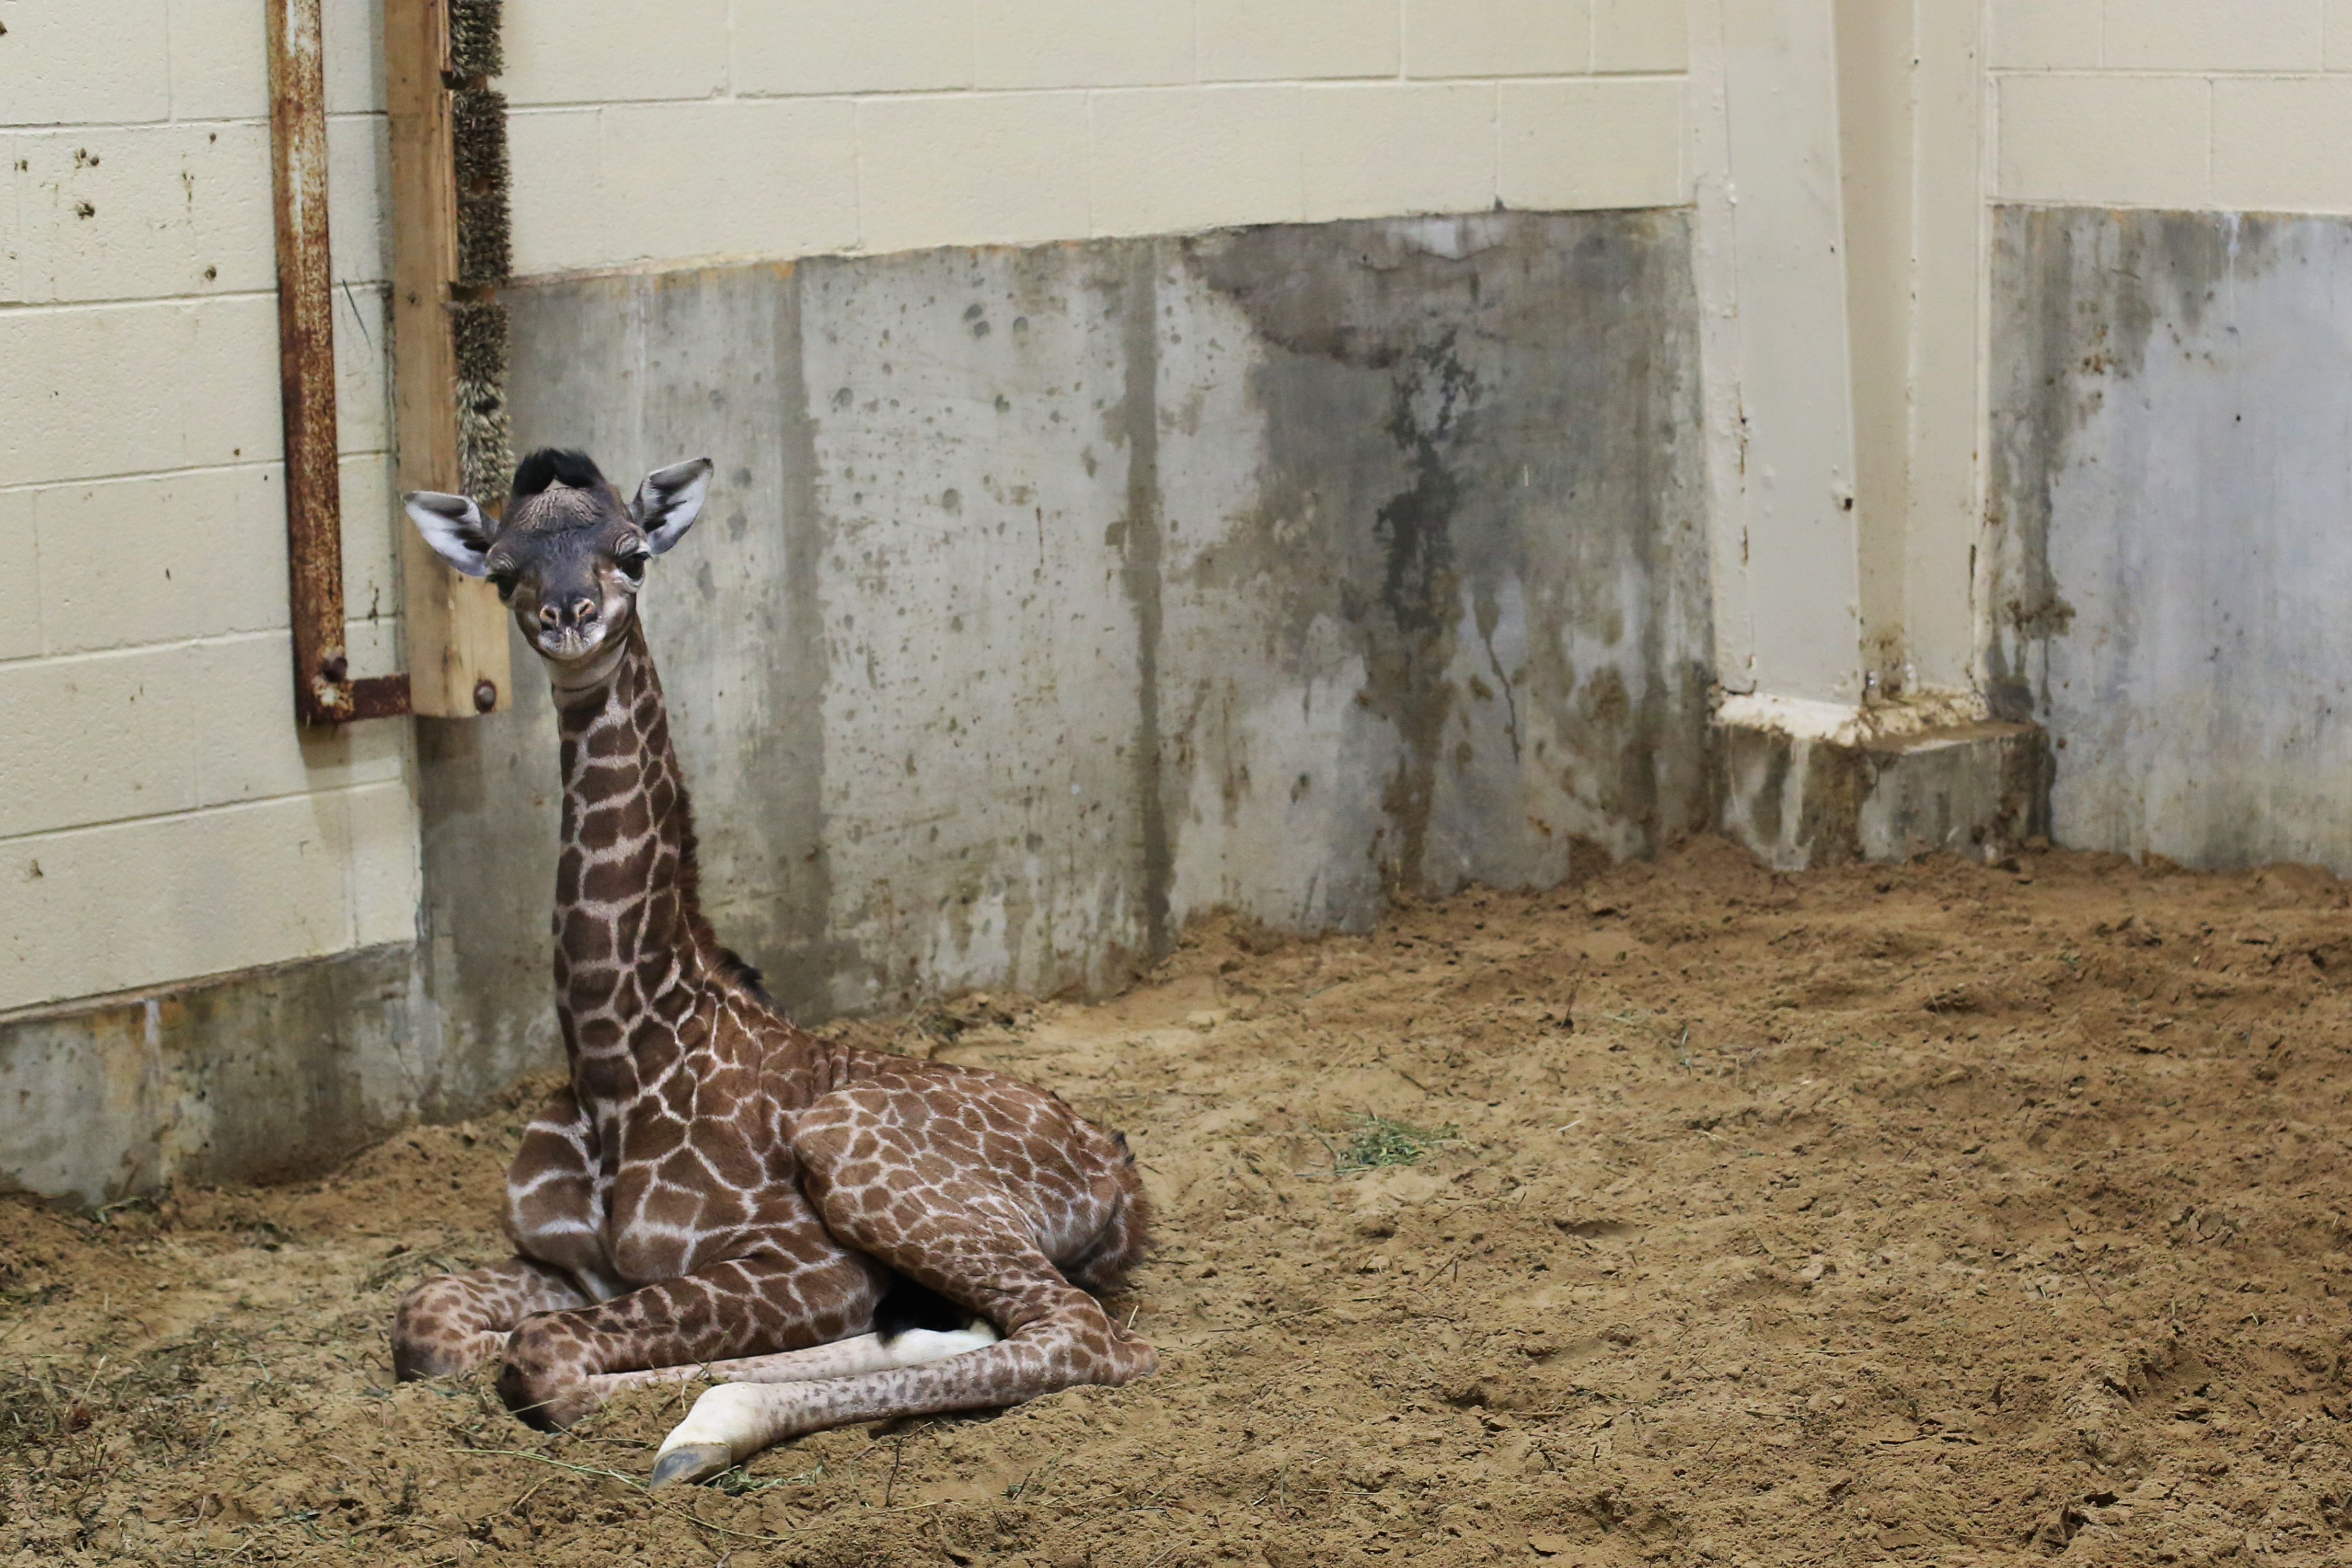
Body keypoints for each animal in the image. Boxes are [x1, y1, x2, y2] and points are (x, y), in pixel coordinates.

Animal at [390, 448, 1157, 1486]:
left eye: (633, 553)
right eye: (504, 571)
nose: (568, 618)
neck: (615, 1056)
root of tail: (1118, 1175)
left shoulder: (806, 1263)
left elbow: (545, 1360)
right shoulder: (564, 1263)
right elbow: (429, 1324)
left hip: (855, 1156)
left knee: (1083, 1336)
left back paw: (711, 1429)